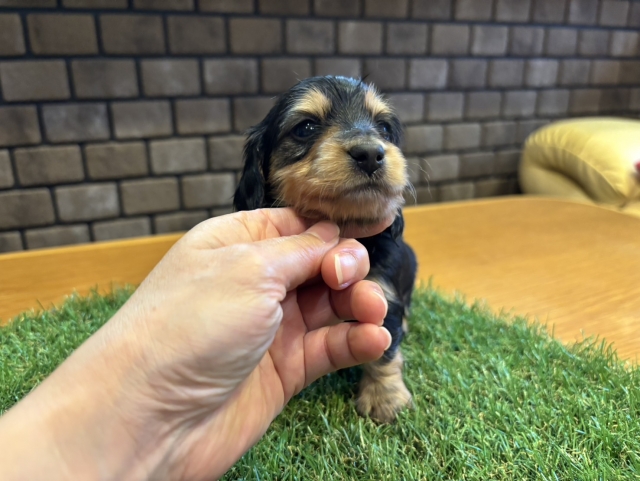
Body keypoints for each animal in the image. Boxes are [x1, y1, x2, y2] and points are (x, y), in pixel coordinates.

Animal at [233, 76, 417, 423]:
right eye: (305, 127)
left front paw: (385, 399)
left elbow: (385, 350)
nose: (370, 153)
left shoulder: (382, 294)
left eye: (384, 128)